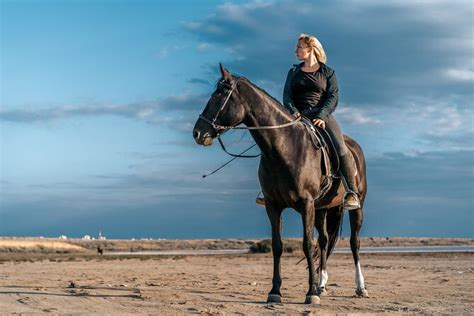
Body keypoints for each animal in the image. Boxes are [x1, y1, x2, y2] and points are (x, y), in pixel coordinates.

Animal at [193, 64, 370, 304]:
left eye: (219, 95)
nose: (197, 132)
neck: (285, 146)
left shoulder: (306, 204)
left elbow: (306, 244)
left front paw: (310, 293)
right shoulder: (273, 205)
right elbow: (277, 246)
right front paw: (275, 291)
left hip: (355, 206)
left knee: (354, 242)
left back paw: (360, 287)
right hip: (323, 208)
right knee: (324, 241)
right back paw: (322, 284)